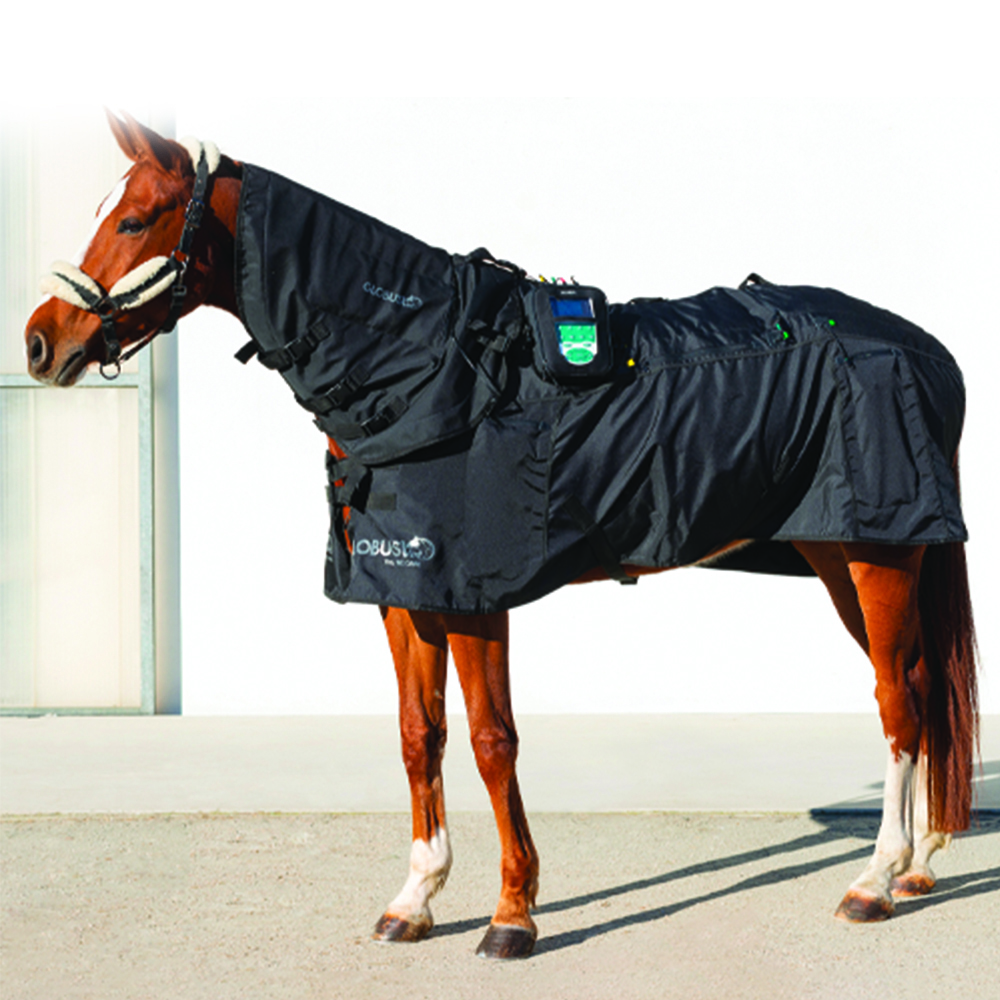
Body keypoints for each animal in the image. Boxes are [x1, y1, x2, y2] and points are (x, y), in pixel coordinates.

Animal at [24, 112, 978, 960]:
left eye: (134, 219)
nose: (39, 342)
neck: (431, 365)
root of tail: (925, 347)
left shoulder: (474, 595)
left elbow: (492, 742)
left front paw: (513, 915)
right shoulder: (402, 591)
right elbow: (419, 736)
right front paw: (413, 900)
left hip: (878, 553)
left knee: (899, 700)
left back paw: (873, 881)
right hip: (837, 555)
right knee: (923, 689)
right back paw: (921, 864)